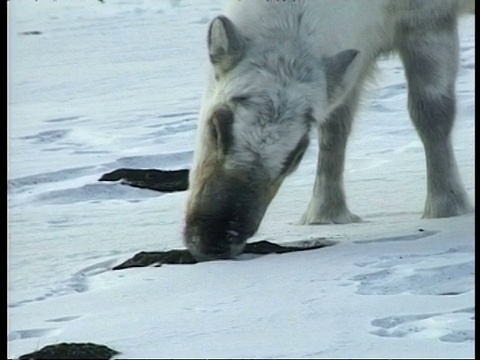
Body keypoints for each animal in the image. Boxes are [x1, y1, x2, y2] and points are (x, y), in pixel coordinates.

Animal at [183, 0, 472, 258]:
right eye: (216, 126)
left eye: (297, 155)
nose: (216, 240)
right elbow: (334, 129)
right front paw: (325, 213)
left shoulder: (429, 23)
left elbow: (432, 114)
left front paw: (447, 206)